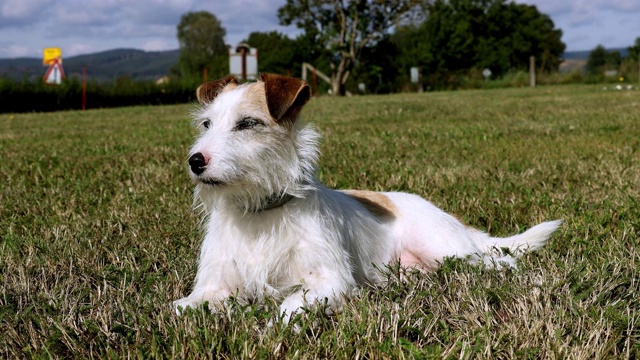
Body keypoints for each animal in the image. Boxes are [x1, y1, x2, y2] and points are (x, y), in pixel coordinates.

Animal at [172, 71, 564, 322]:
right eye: (207, 124)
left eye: (247, 124)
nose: (195, 161)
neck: (260, 212)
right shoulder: (212, 287)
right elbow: (182, 307)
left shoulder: (329, 281)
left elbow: (289, 308)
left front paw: (275, 328)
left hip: (449, 252)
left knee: (498, 262)